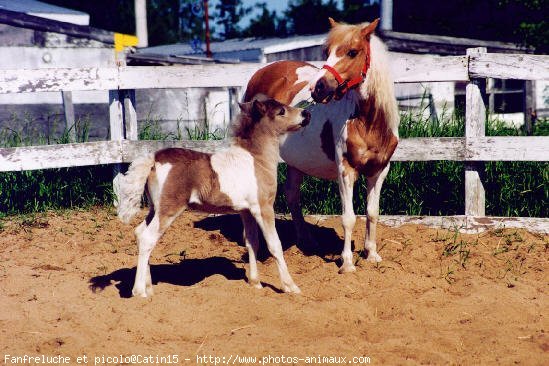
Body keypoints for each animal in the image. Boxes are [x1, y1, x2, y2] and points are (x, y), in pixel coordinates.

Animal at [115, 98, 308, 298]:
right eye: (281, 111)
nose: (306, 114)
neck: (256, 160)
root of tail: (153, 159)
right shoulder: (264, 208)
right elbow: (274, 245)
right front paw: (291, 286)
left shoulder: (246, 211)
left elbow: (251, 242)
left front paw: (255, 283)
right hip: (168, 210)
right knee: (147, 238)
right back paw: (139, 292)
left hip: (155, 209)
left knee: (139, 233)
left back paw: (149, 288)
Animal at [244, 18, 398, 274]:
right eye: (327, 52)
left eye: (353, 52)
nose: (318, 88)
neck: (369, 123)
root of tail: (262, 71)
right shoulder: (345, 170)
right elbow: (348, 217)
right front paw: (347, 264)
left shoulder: (379, 170)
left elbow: (372, 213)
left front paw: (372, 255)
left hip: (296, 161)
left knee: (292, 193)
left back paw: (306, 242)